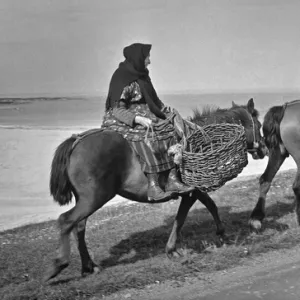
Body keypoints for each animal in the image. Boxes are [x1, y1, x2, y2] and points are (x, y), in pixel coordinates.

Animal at [45, 98, 268, 282]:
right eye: (257, 125)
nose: (264, 149)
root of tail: (76, 142)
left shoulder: (194, 190)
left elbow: (210, 205)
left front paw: (221, 232)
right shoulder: (190, 191)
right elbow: (182, 217)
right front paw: (172, 249)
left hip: (86, 200)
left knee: (79, 227)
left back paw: (88, 266)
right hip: (94, 198)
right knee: (66, 221)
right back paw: (60, 264)